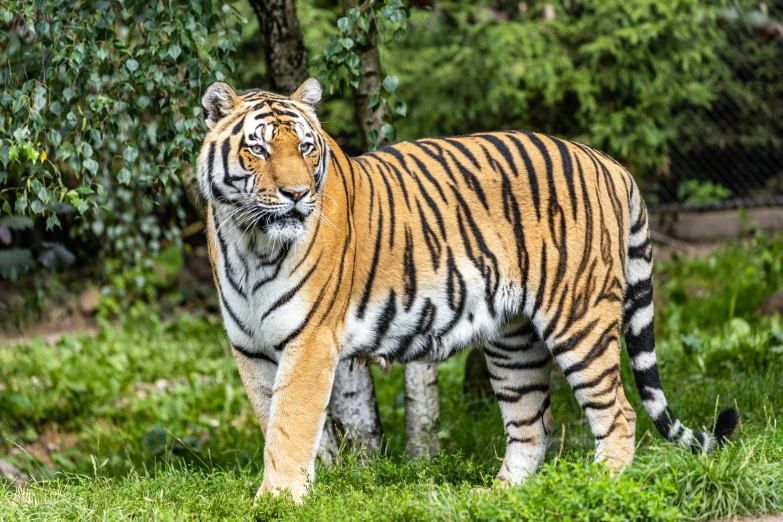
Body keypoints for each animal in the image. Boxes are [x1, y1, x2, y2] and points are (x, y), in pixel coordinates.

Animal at [199, 76, 740, 500]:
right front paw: (294, 492)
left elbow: (290, 426)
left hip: (579, 318)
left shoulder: (310, 342)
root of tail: (610, 163)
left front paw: (277, 501)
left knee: (620, 412)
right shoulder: (251, 348)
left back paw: (602, 485)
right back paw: (500, 496)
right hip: (514, 341)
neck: (251, 241)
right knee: (532, 423)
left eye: (306, 148)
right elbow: (274, 420)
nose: (296, 195)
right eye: (258, 148)